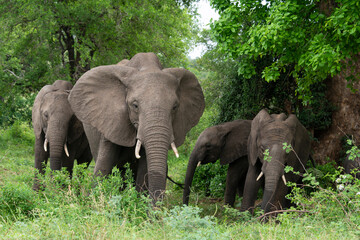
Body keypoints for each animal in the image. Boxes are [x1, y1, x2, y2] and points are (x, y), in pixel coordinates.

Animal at [67, 53, 202, 204]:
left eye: (175, 107)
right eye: (135, 105)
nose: (156, 208)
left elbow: (144, 169)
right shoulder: (111, 121)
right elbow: (103, 166)